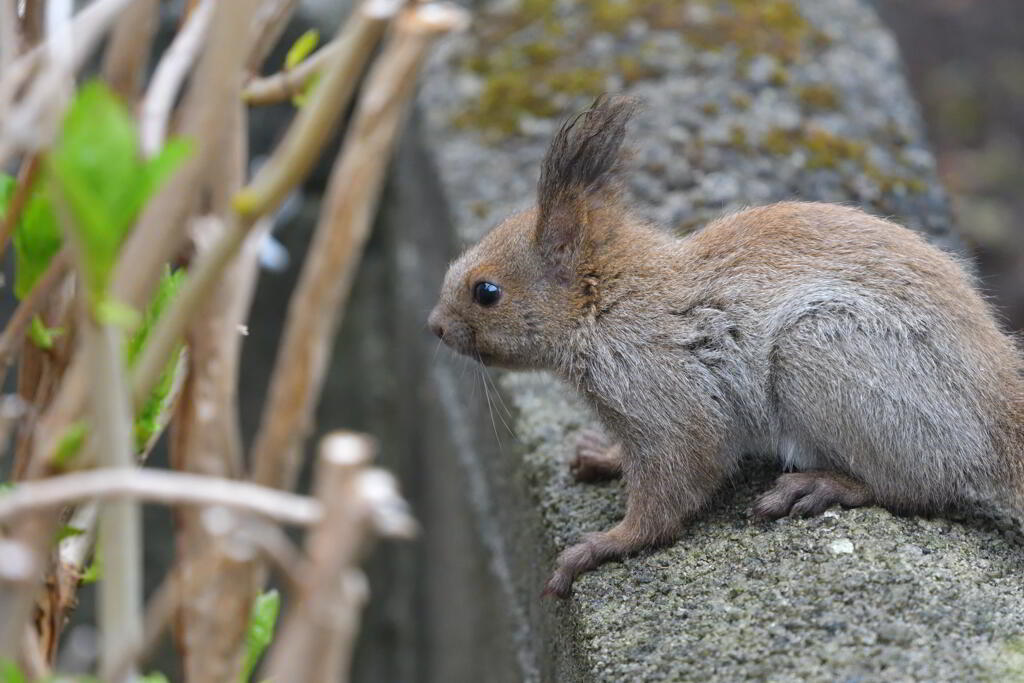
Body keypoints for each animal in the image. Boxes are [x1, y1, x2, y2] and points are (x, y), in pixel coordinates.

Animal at [423, 94, 1024, 598]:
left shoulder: (663, 391)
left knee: (917, 486)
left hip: (827, 358)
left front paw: (601, 546)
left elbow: (676, 482)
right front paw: (604, 456)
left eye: (486, 292)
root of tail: (998, 418)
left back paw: (824, 485)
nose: (435, 326)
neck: (612, 305)